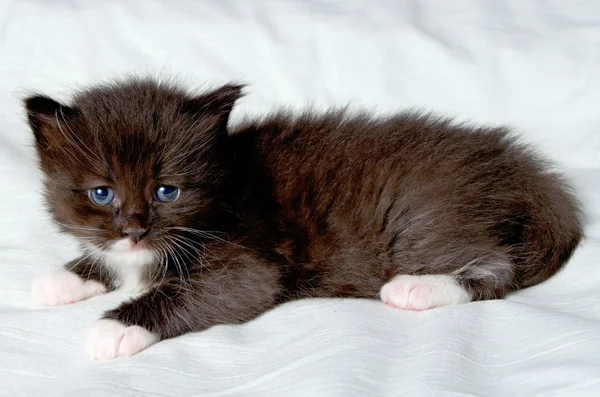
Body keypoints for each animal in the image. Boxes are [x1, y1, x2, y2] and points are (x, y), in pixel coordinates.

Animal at [24, 76, 580, 358]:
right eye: (102, 193)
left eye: (167, 191)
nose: (136, 228)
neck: (228, 178)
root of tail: (520, 166)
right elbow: (112, 261)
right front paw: (64, 277)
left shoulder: (248, 266)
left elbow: (194, 291)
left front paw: (115, 328)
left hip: (422, 219)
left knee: (497, 267)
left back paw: (417, 288)